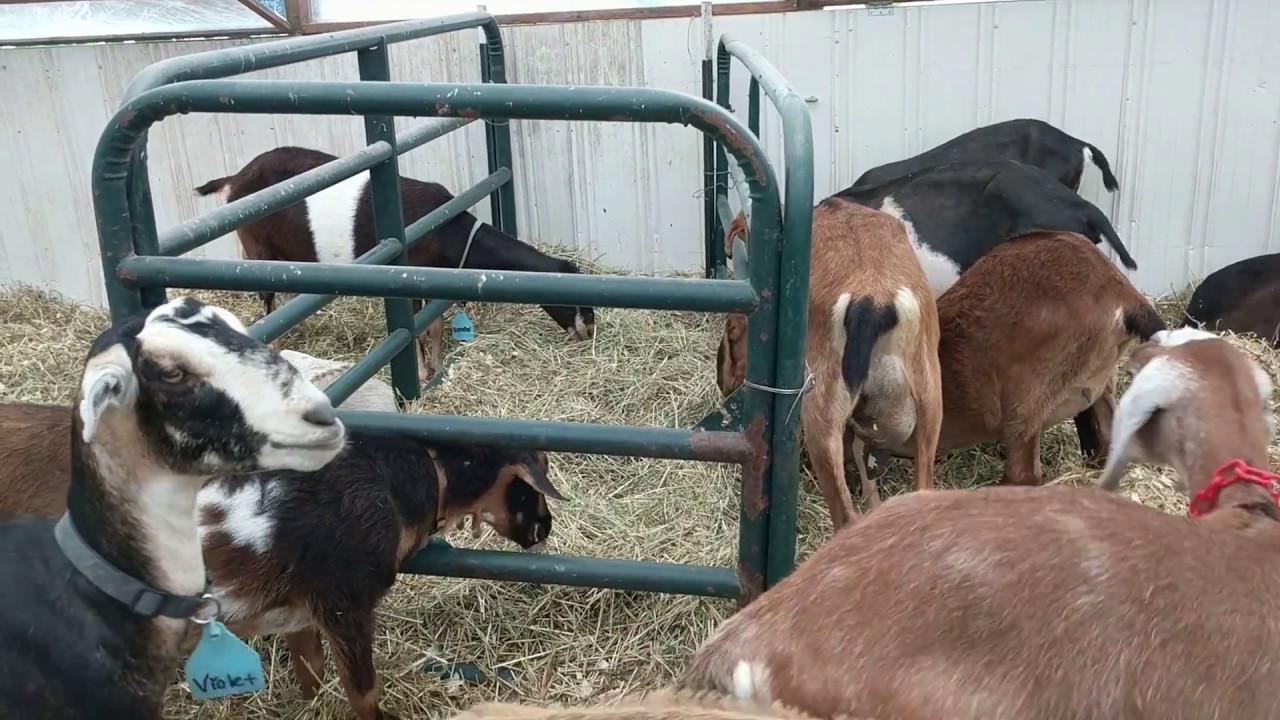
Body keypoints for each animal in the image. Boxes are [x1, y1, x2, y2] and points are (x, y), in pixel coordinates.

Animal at [195, 146, 597, 383]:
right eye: (572, 299)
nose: (588, 332)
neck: (443, 228)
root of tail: (234, 179)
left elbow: (434, 327)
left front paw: (435, 367)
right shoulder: (408, 279)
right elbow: (414, 329)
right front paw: (419, 374)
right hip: (256, 246)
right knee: (267, 301)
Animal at [199, 430, 563, 720]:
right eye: (534, 477)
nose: (545, 527)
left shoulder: (296, 614)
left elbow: (310, 668)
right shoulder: (345, 602)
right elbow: (363, 691)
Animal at [719, 198, 941, 530]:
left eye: (733, 329)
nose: (724, 383)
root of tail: (875, 300)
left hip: (822, 416)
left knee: (846, 517)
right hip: (928, 400)